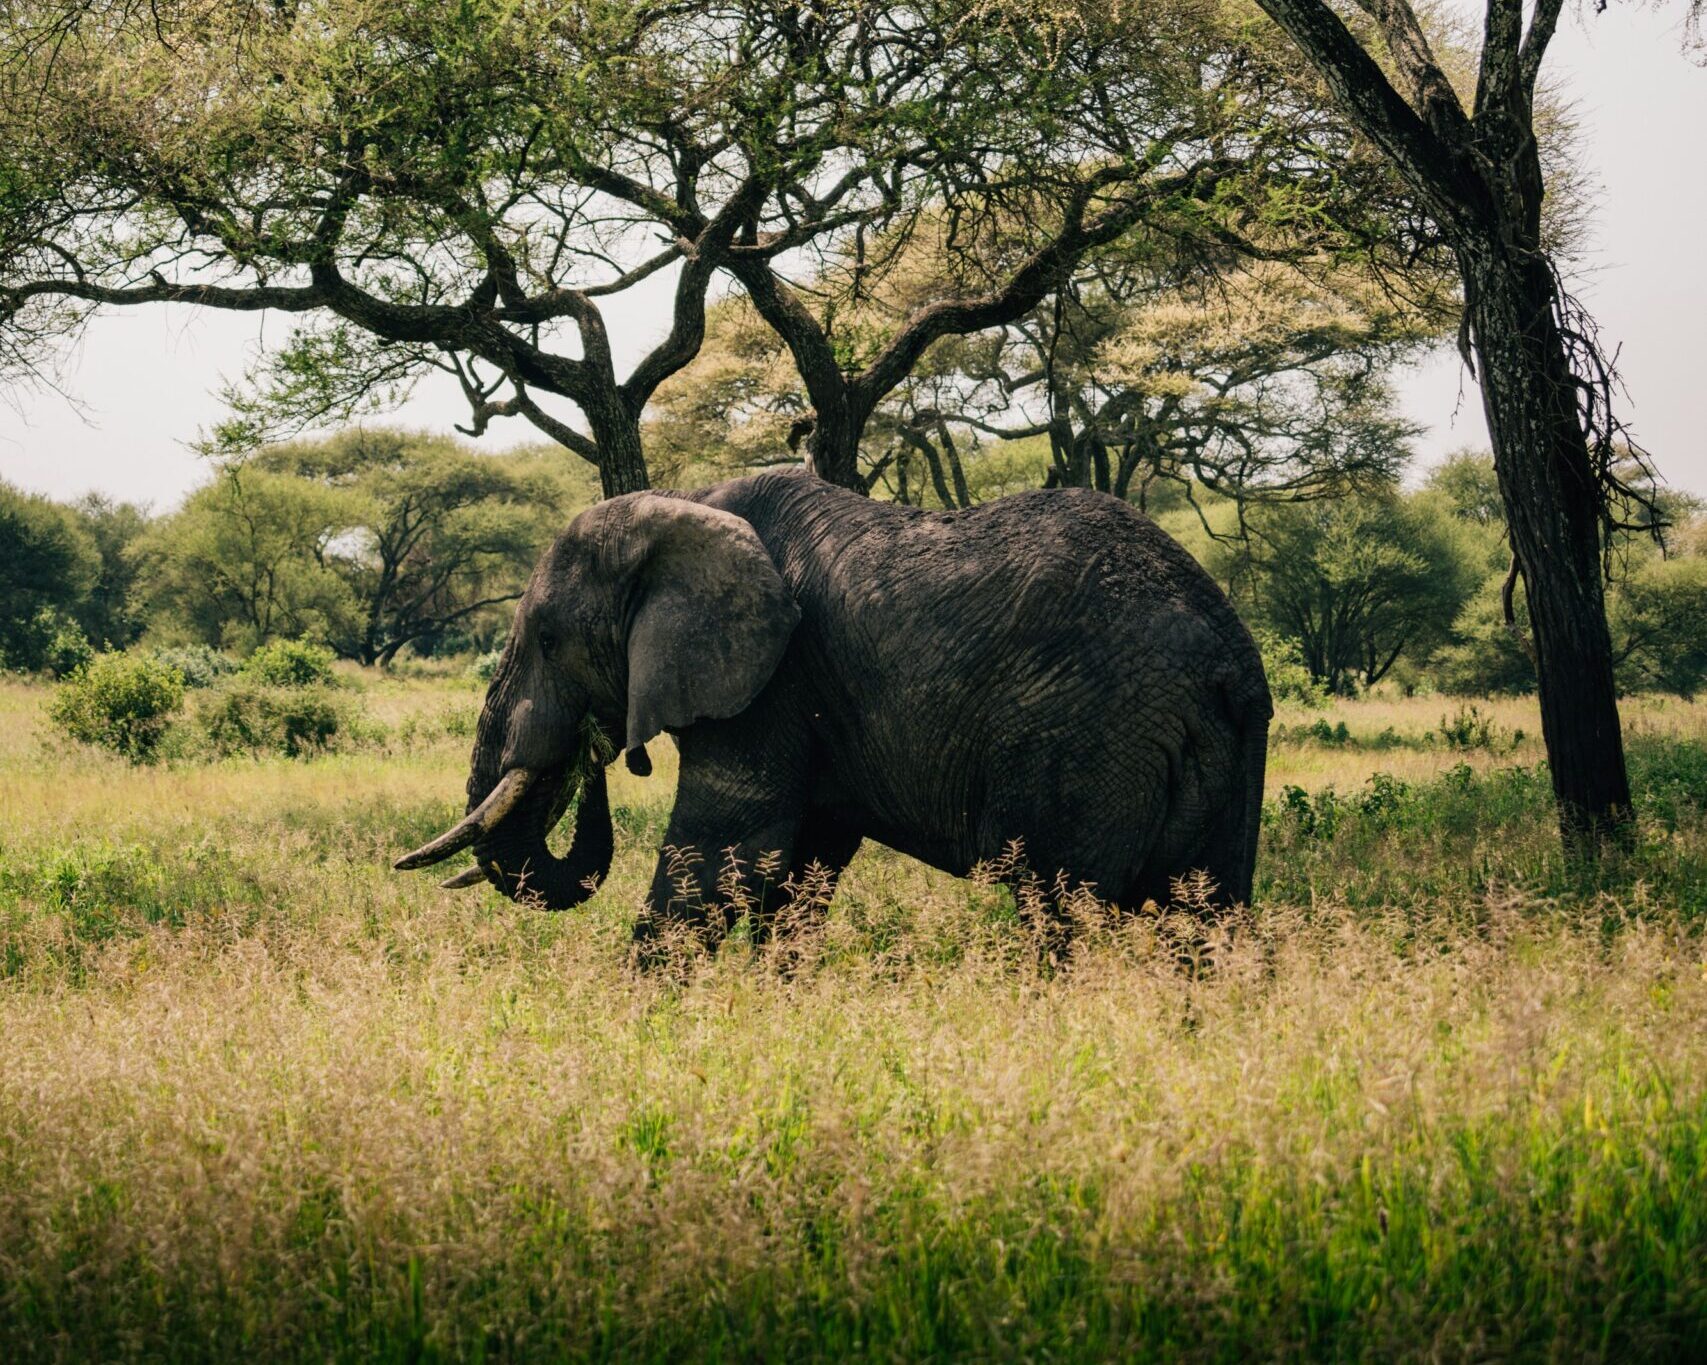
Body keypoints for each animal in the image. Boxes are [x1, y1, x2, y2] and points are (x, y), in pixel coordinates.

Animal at [395, 467, 1272, 947]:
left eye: (547, 638)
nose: (594, 747)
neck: (686, 504)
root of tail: (1223, 658)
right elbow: (798, 871)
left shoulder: (773, 681)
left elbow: (723, 857)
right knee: (1206, 916)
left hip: (1087, 738)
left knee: (1061, 908)